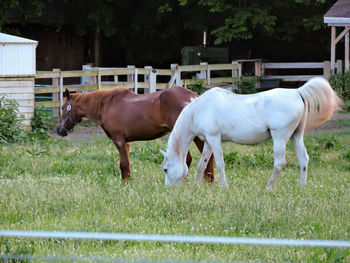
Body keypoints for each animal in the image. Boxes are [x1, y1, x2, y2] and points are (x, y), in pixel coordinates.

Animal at [56, 87, 215, 183]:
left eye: (63, 107)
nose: (59, 130)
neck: (106, 105)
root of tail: (194, 97)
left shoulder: (119, 140)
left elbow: (123, 164)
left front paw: (124, 185)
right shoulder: (126, 142)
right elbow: (127, 165)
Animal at [163, 77, 344, 189]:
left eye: (165, 169)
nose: (168, 188)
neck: (200, 109)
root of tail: (297, 92)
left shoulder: (214, 138)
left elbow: (220, 163)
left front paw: (224, 186)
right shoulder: (208, 141)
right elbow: (202, 164)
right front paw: (197, 185)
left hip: (280, 138)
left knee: (279, 163)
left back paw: (268, 187)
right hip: (296, 136)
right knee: (303, 160)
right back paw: (301, 187)